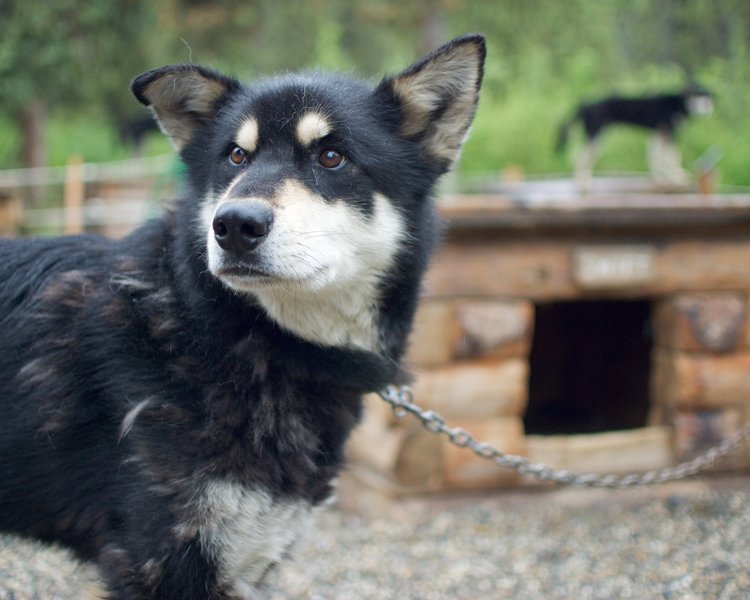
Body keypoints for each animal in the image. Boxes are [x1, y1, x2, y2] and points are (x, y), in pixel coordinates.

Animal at [560, 88, 716, 186]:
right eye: (697, 98)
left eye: (706, 99)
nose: (705, 110)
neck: (678, 103)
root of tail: (585, 104)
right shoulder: (670, 133)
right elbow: (672, 157)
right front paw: (677, 178)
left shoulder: (658, 133)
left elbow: (656, 157)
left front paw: (659, 177)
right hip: (596, 135)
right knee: (580, 158)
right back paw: (583, 183)